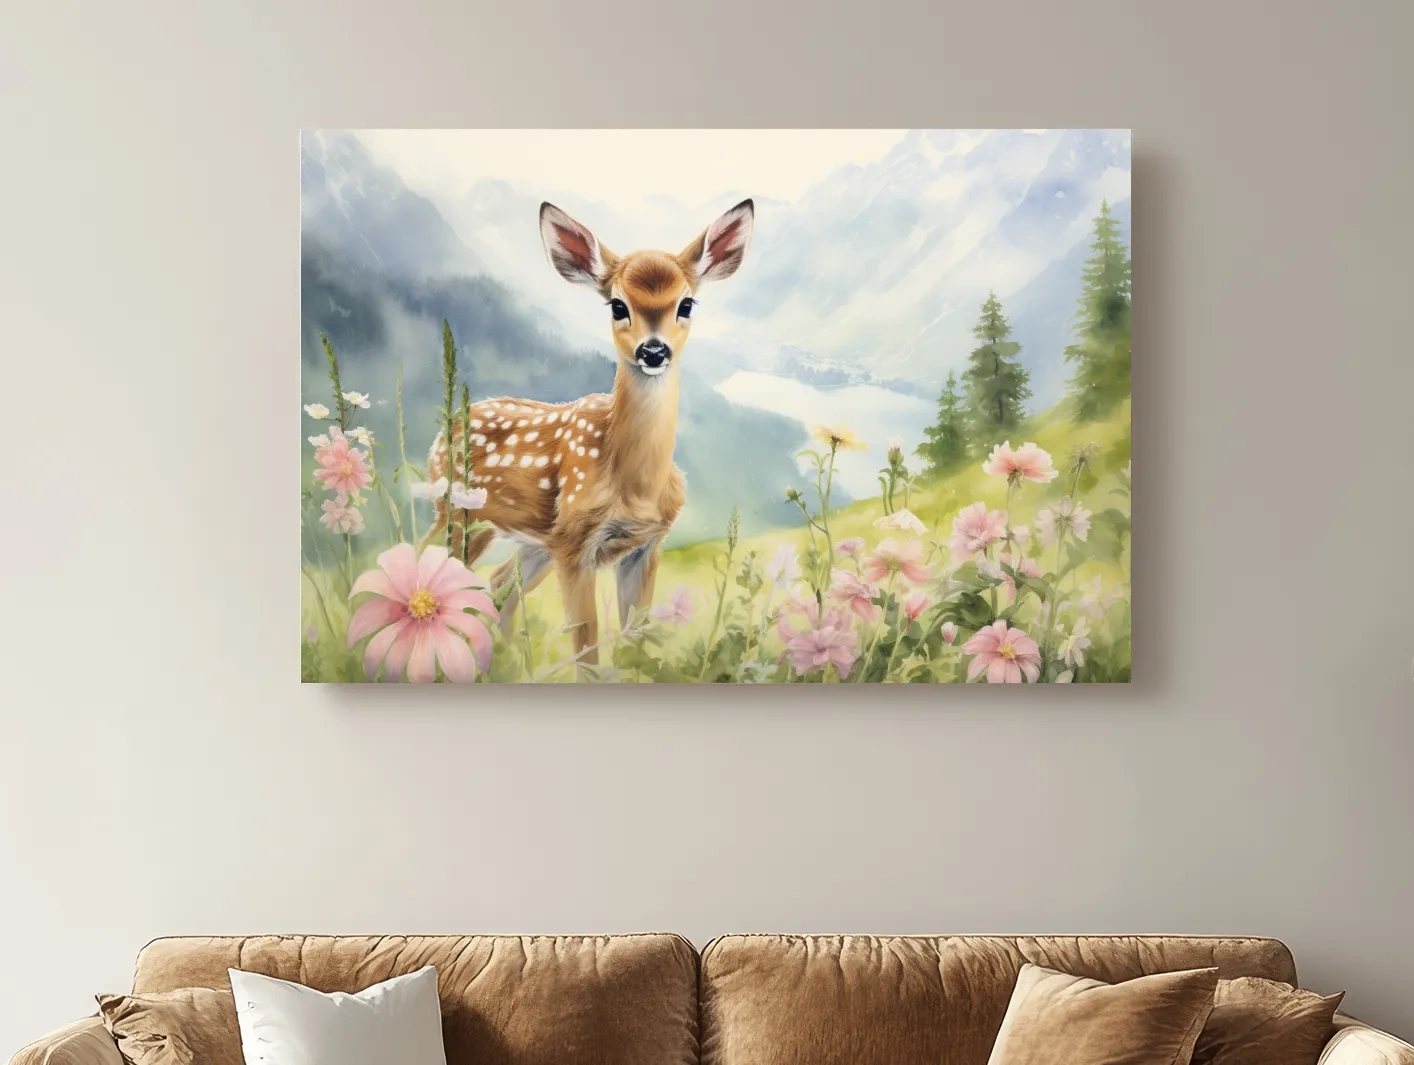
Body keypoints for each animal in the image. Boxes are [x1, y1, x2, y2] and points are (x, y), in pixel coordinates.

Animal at [422, 198, 755, 667]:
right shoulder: (574, 545)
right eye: (617, 305)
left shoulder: (644, 546)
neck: (635, 486)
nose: (654, 351)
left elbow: (634, 640)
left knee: (498, 586)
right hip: (458, 512)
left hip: (533, 540)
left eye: (687, 304)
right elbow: (586, 646)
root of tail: (443, 431)